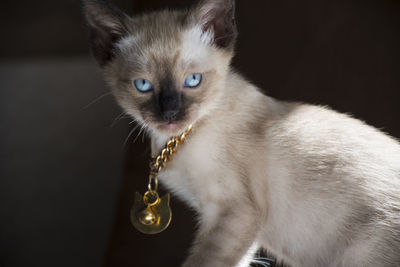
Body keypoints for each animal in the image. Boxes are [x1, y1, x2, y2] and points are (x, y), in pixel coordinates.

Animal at [83, 1, 400, 266]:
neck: (176, 141)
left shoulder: (235, 214)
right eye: (143, 86)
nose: (170, 114)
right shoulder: (232, 225)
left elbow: (203, 263)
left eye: (193, 80)